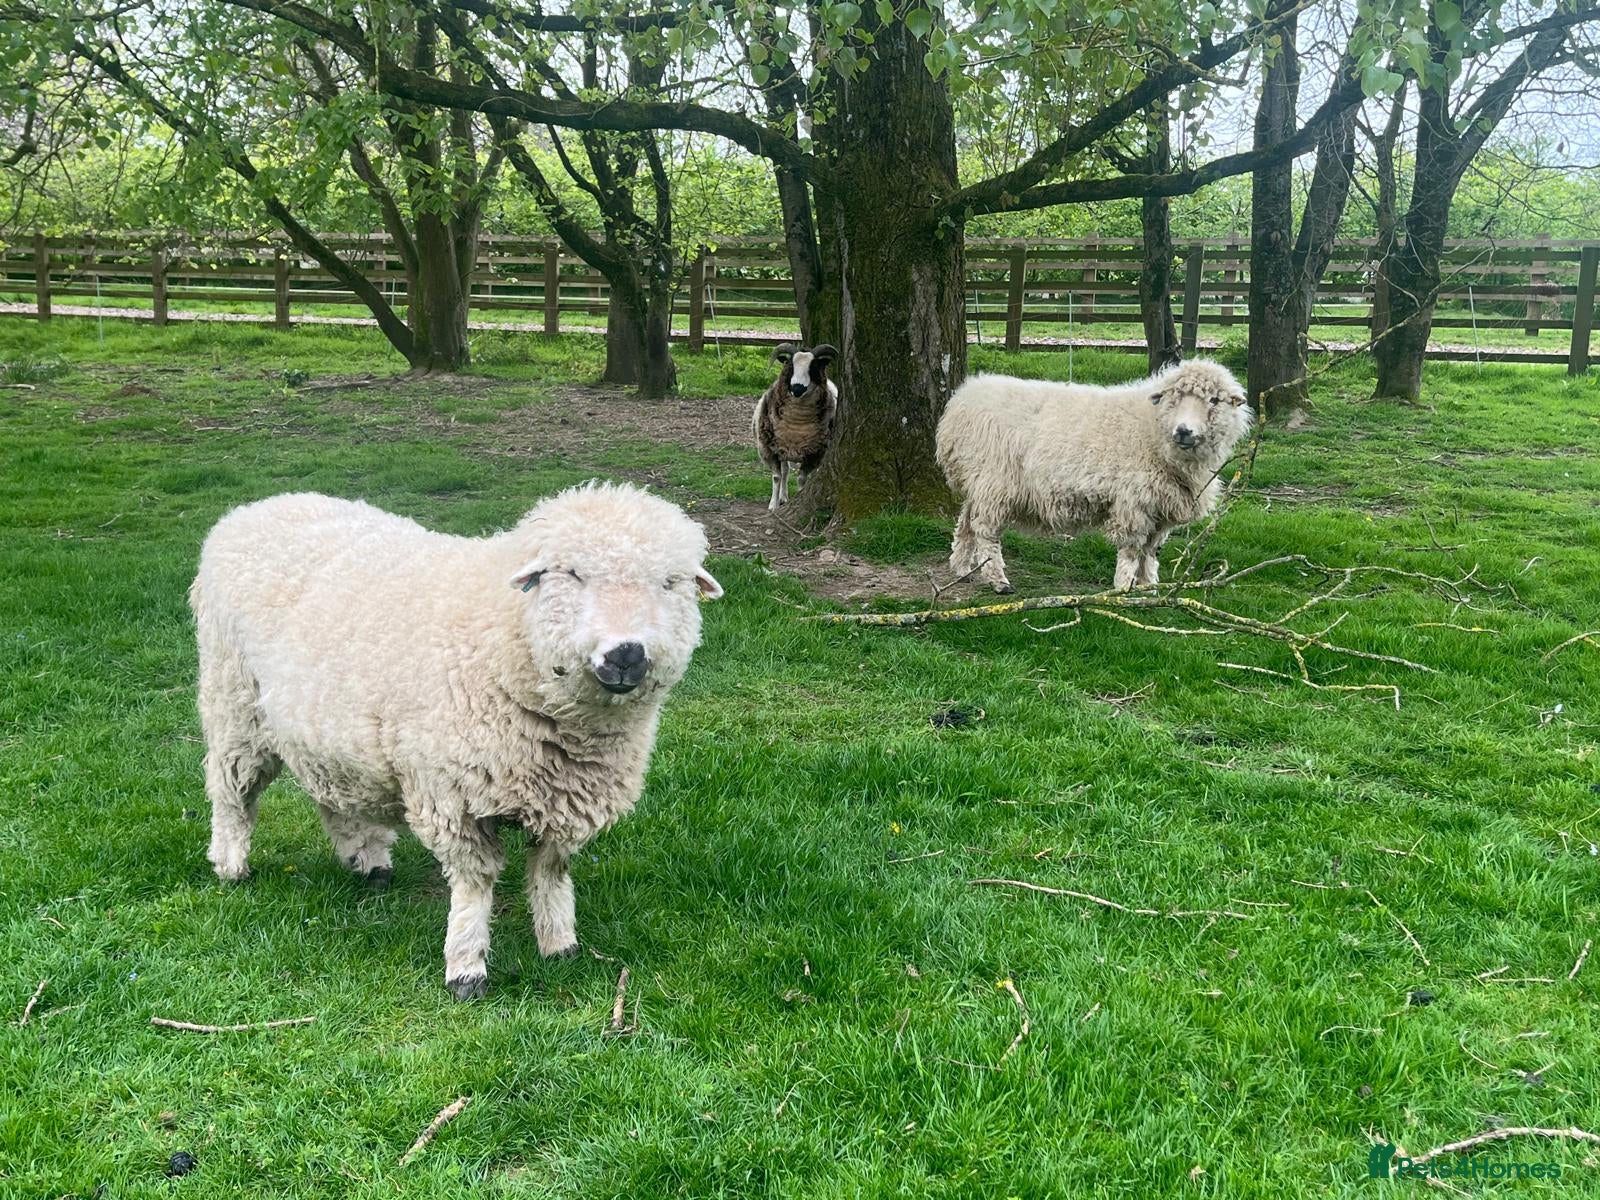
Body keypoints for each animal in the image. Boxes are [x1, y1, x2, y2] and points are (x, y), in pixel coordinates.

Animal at [189, 481, 724, 1000]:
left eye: (671, 582)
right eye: (571, 574)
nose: (626, 654)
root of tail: (253, 509)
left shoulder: (567, 798)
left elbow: (551, 871)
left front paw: (560, 944)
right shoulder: (453, 797)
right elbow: (475, 881)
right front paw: (466, 967)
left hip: (324, 727)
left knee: (333, 795)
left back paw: (367, 860)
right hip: (234, 701)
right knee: (231, 790)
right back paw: (231, 865)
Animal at [753, 342, 839, 511]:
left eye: (813, 366)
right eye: (790, 364)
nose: (797, 388)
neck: (796, 426)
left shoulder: (814, 454)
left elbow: (802, 478)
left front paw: (800, 497)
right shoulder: (770, 449)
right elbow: (777, 477)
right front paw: (773, 505)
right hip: (782, 449)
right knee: (785, 471)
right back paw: (783, 497)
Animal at [935, 359, 1252, 594]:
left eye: (1214, 400)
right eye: (1173, 400)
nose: (1184, 431)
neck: (1152, 428)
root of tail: (964, 398)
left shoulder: (1160, 506)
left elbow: (1150, 551)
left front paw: (1149, 588)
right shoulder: (1134, 502)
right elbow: (1132, 549)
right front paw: (1123, 589)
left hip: (977, 481)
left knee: (966, 523)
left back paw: (961, 568)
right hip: (994, 482)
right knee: (985, 531)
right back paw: (998, 580)